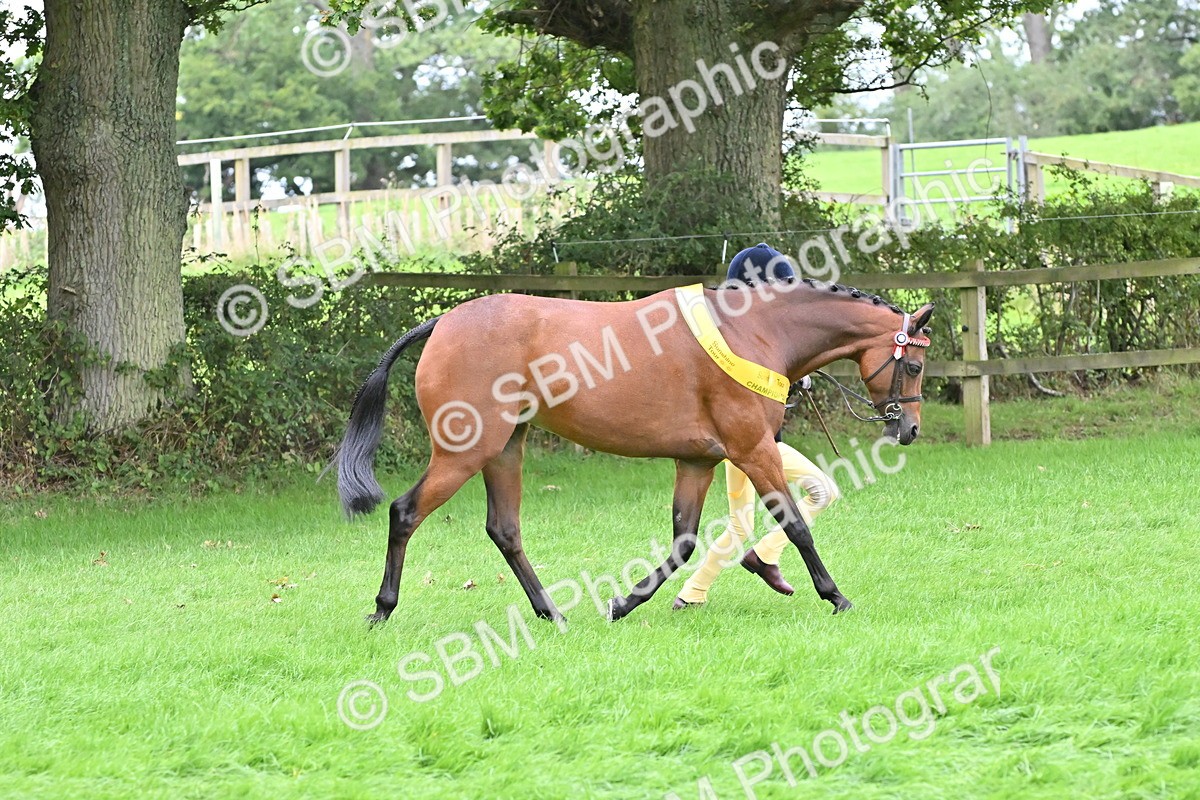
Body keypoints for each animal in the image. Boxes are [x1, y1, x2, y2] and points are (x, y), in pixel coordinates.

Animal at [335, 276, 934, 624]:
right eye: (914, 364)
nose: (908, 430)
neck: (754, 330)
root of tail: (444, 321)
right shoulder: (753, 450)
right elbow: (797, 526)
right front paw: (836, 596)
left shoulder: (699, 460)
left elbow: (684, 541)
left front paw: (626, 602)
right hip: (464, 453)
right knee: (405, 513)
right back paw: (381, 610)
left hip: (505, 449)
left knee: (504, 530)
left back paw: (551, 613)